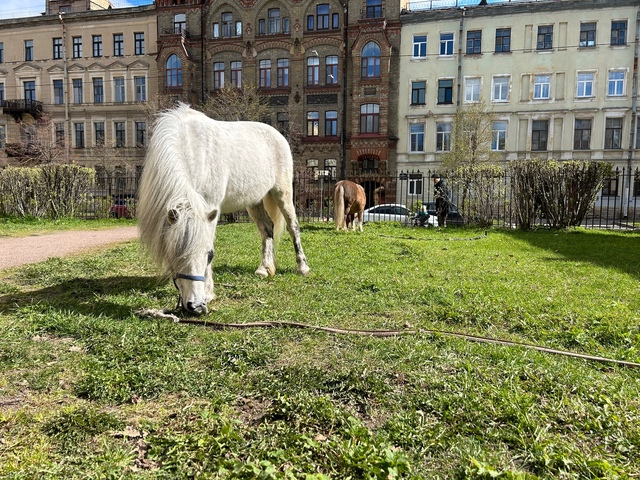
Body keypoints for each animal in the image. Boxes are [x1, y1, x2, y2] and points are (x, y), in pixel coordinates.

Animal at [138, 104, 310, 316]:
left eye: (209, 255)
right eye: (174, 257)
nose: (196, 306)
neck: (191, 148)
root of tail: (278, 135)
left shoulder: (211, 210)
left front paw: (209, 292)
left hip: (282, 192)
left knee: (293, 226)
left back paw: (302, 267)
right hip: (254, 201)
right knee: (267, 228)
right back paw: (264, 268)